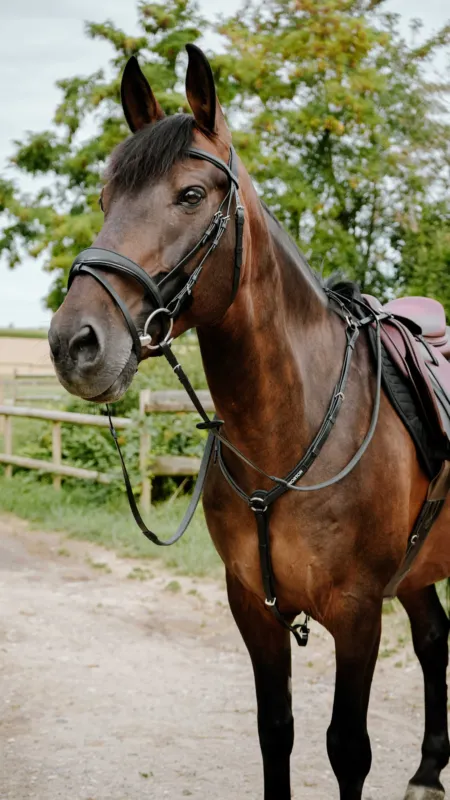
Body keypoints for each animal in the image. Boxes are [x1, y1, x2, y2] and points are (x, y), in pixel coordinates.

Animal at [48, 45, 450, 800]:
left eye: (191, 195)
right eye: (106, 199)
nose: (72, 343)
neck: (290, 430)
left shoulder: (357, 613)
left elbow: (347, 749)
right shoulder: (253, 610)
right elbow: (276, 734)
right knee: (435, 637)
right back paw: (428, 771)